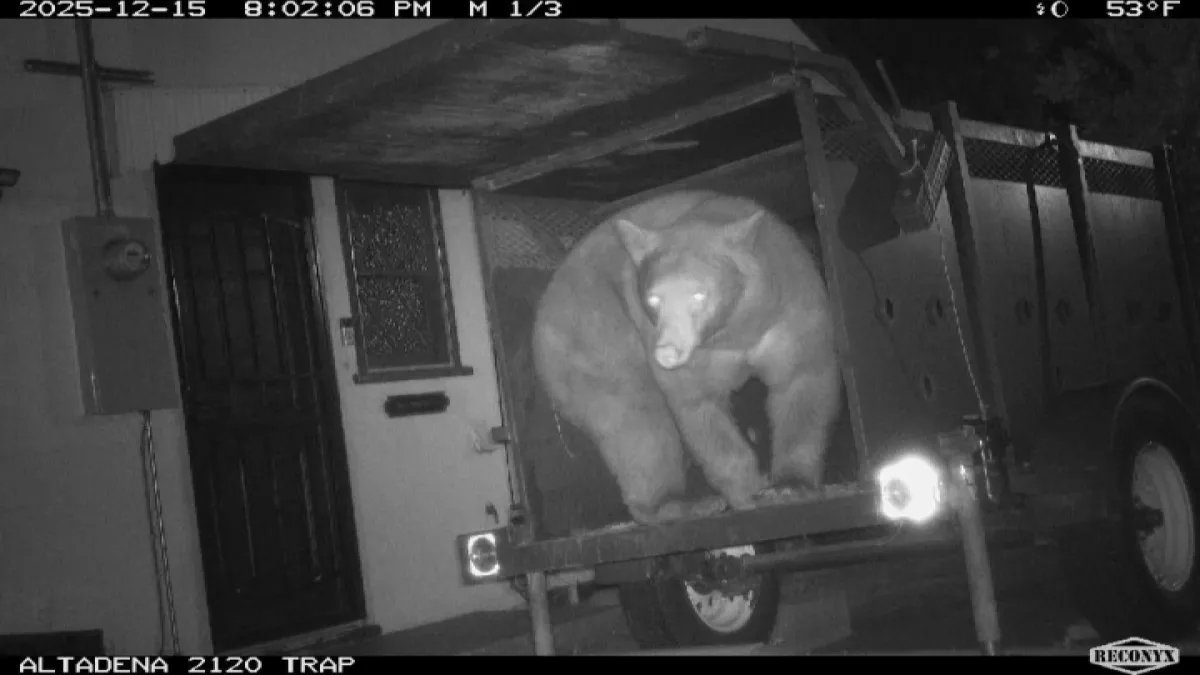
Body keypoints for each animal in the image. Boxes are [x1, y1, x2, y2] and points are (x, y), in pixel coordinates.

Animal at [531, 190, 841, 526]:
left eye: (699, 295)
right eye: (653, 298)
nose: (667, 351)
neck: (733, 332)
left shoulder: (789, 310)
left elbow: (801, 381)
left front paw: (789, 486)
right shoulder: (691, 356)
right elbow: (698, 408)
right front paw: (747, 493)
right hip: (593, 331)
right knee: (635, 417)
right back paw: (679, 505)